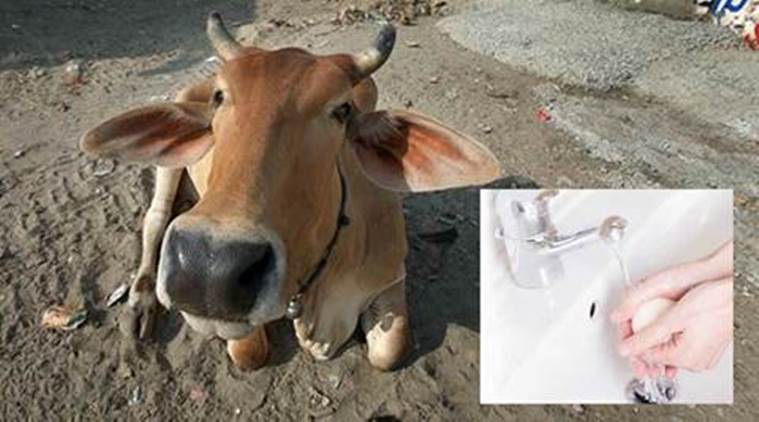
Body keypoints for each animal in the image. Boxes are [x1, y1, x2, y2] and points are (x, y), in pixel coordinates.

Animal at [80, 12, 500, 371]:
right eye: (220, 97)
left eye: (342, 110)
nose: (208, 269)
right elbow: (250, 353)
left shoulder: (391, 277)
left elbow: (390, 352)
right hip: (170, 164)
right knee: (155, 220)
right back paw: (140, 303)